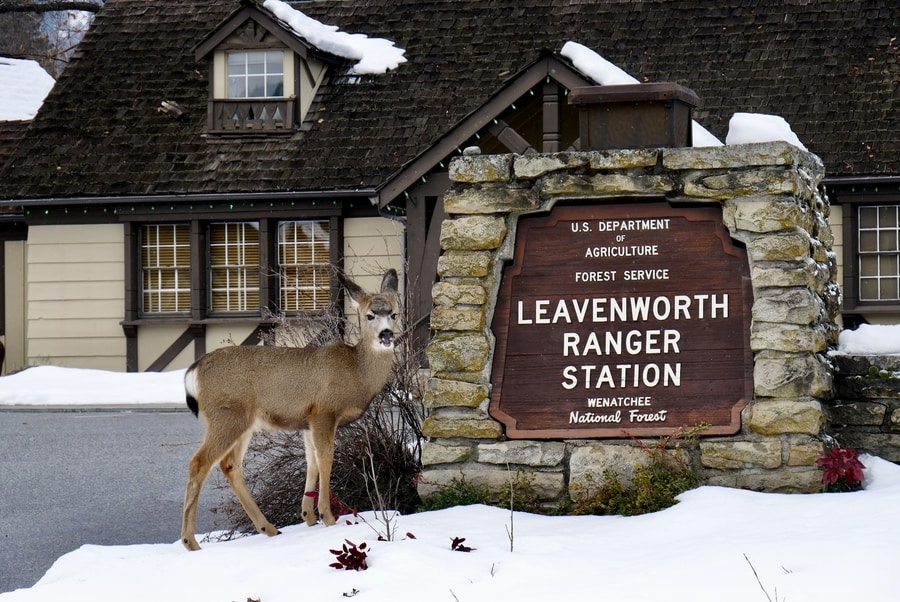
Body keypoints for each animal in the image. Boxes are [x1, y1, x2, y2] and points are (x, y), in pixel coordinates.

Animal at [181, 268, 400, 548]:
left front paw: (308, 515)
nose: (386, 335)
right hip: (227, 415)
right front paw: (328, 516)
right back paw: (190, 541)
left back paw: (268, 528)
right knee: (199, 462)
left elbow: (312, 461)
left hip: (243, 421)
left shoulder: (308, 420)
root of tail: (194, 370)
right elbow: (326, 458)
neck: (357, 372)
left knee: (230, 465)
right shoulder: (325, 411)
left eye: (394, 313)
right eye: (370, 315)